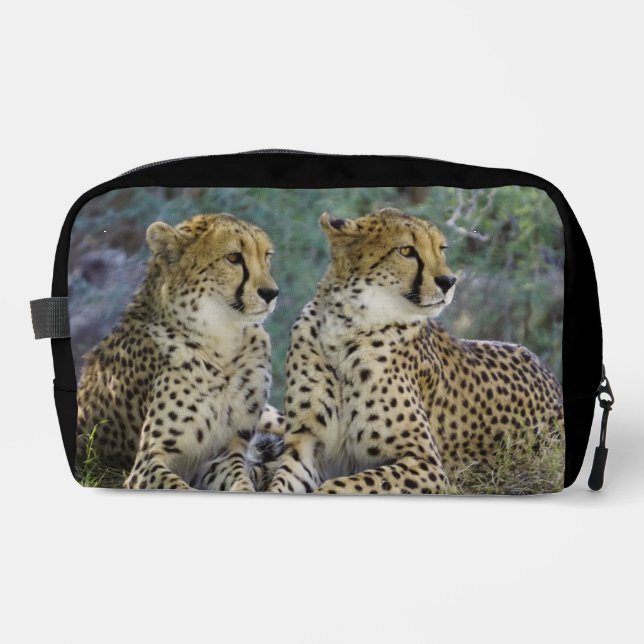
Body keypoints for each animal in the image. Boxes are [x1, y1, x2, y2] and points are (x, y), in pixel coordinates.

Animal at [76, 213, 283, 490]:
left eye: (266, 255)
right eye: (233, 257)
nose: (271, 293)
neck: (221, 342)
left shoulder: (224, 454)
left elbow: (242, 483)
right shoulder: (147, 463)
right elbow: (181, 486)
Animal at [268, 207, 563, 494]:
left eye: (441, 248)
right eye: (406, 251)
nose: (449, 281)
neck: (345, 328)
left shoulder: (427, 464)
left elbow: (341, 486)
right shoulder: (305, 448)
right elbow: (280, 485)